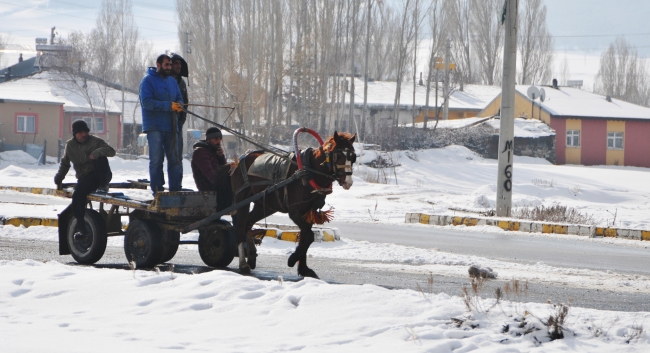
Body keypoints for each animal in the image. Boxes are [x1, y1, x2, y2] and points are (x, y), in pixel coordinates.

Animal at [230, 131, 356, 276]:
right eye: (339, 155)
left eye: (353, 157)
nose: (348, 182)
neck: (308, 171)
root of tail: (240, 159)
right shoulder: (295, 212)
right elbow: (309, 236)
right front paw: (293, 259)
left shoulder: (309, 212)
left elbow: (305, 237)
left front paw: (304, 268)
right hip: (241, 199)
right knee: (240, 226)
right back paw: (243, 264)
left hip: (264, 205)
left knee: (248, 223)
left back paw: (251, 256)